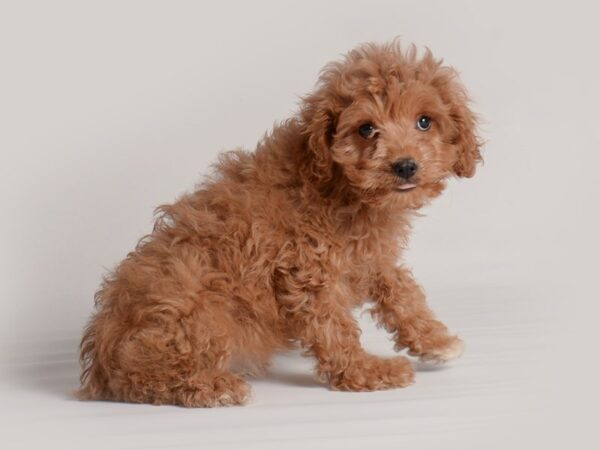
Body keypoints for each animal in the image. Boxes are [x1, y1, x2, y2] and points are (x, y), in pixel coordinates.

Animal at [77, 42, 480, 408]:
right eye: (366, 129)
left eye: (424, 121)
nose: (406, 166)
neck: (340, 188)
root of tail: (99, 355)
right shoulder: (307, 273)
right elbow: (335, 330)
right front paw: (366, 372)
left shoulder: (369, 257)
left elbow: (401, 290)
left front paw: (435, 341)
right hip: (200, 310)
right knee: (137, 376)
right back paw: (212, 386)